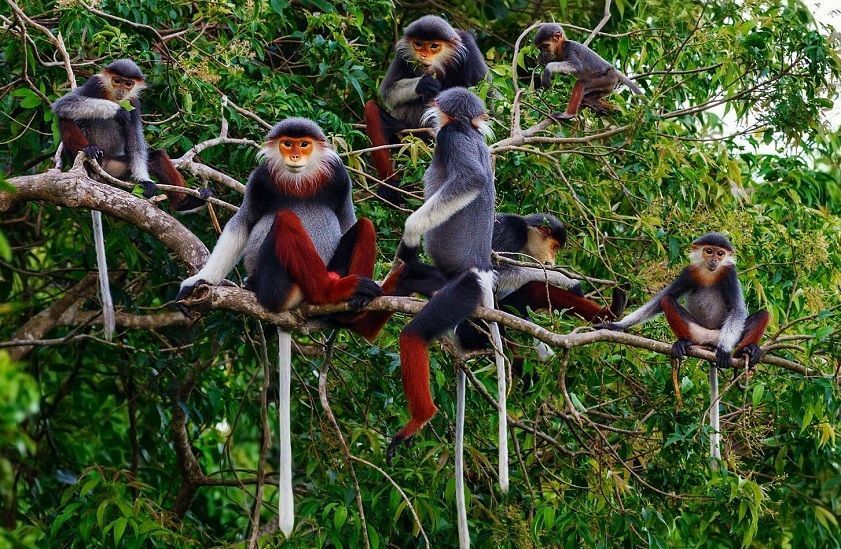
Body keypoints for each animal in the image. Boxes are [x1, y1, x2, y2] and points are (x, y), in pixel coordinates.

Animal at [52, 59, 212, 213]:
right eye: (117, 80)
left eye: (128, 83)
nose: (121, 90)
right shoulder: (94, 83)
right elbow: (63, 103)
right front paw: (118, 111)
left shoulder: (134, 103)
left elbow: (136, 143)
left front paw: (145, 181)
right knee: (64, 118)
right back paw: (89, 150)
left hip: (117, 169)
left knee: (158, 157)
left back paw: (185, 203)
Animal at [175, 118, 382, 536]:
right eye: (287, 144)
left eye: (303, 145)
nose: (296, 157)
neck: (298, 182)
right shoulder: (260, 181)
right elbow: (242, 225)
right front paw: (200, 280)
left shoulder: (338, 178)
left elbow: (350, 219)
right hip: (277, 285)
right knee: (286, 220)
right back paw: (333, 290)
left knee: (364, 226)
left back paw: (348, 310)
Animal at [364, 15, 488, 202]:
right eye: (419, 44)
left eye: (434, 46)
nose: (423, 55)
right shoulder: (402, 54)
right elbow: (388, 91)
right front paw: (425, 83)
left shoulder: (469, 48)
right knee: (371, 108)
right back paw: (390, 187)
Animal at [596, 233, 769, 369]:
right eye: (709, 251)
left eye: (720, 253)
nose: (714, 260)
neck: (709, 274)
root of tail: (710, 340)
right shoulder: (689, 272)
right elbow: (660, 300)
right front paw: (616, 325)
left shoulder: (729, 274)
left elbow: (737, 310)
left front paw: (725, 350)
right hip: (697, 332)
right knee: (667, 300)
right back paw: (684, 343)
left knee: (764, 314)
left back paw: (748, 351)